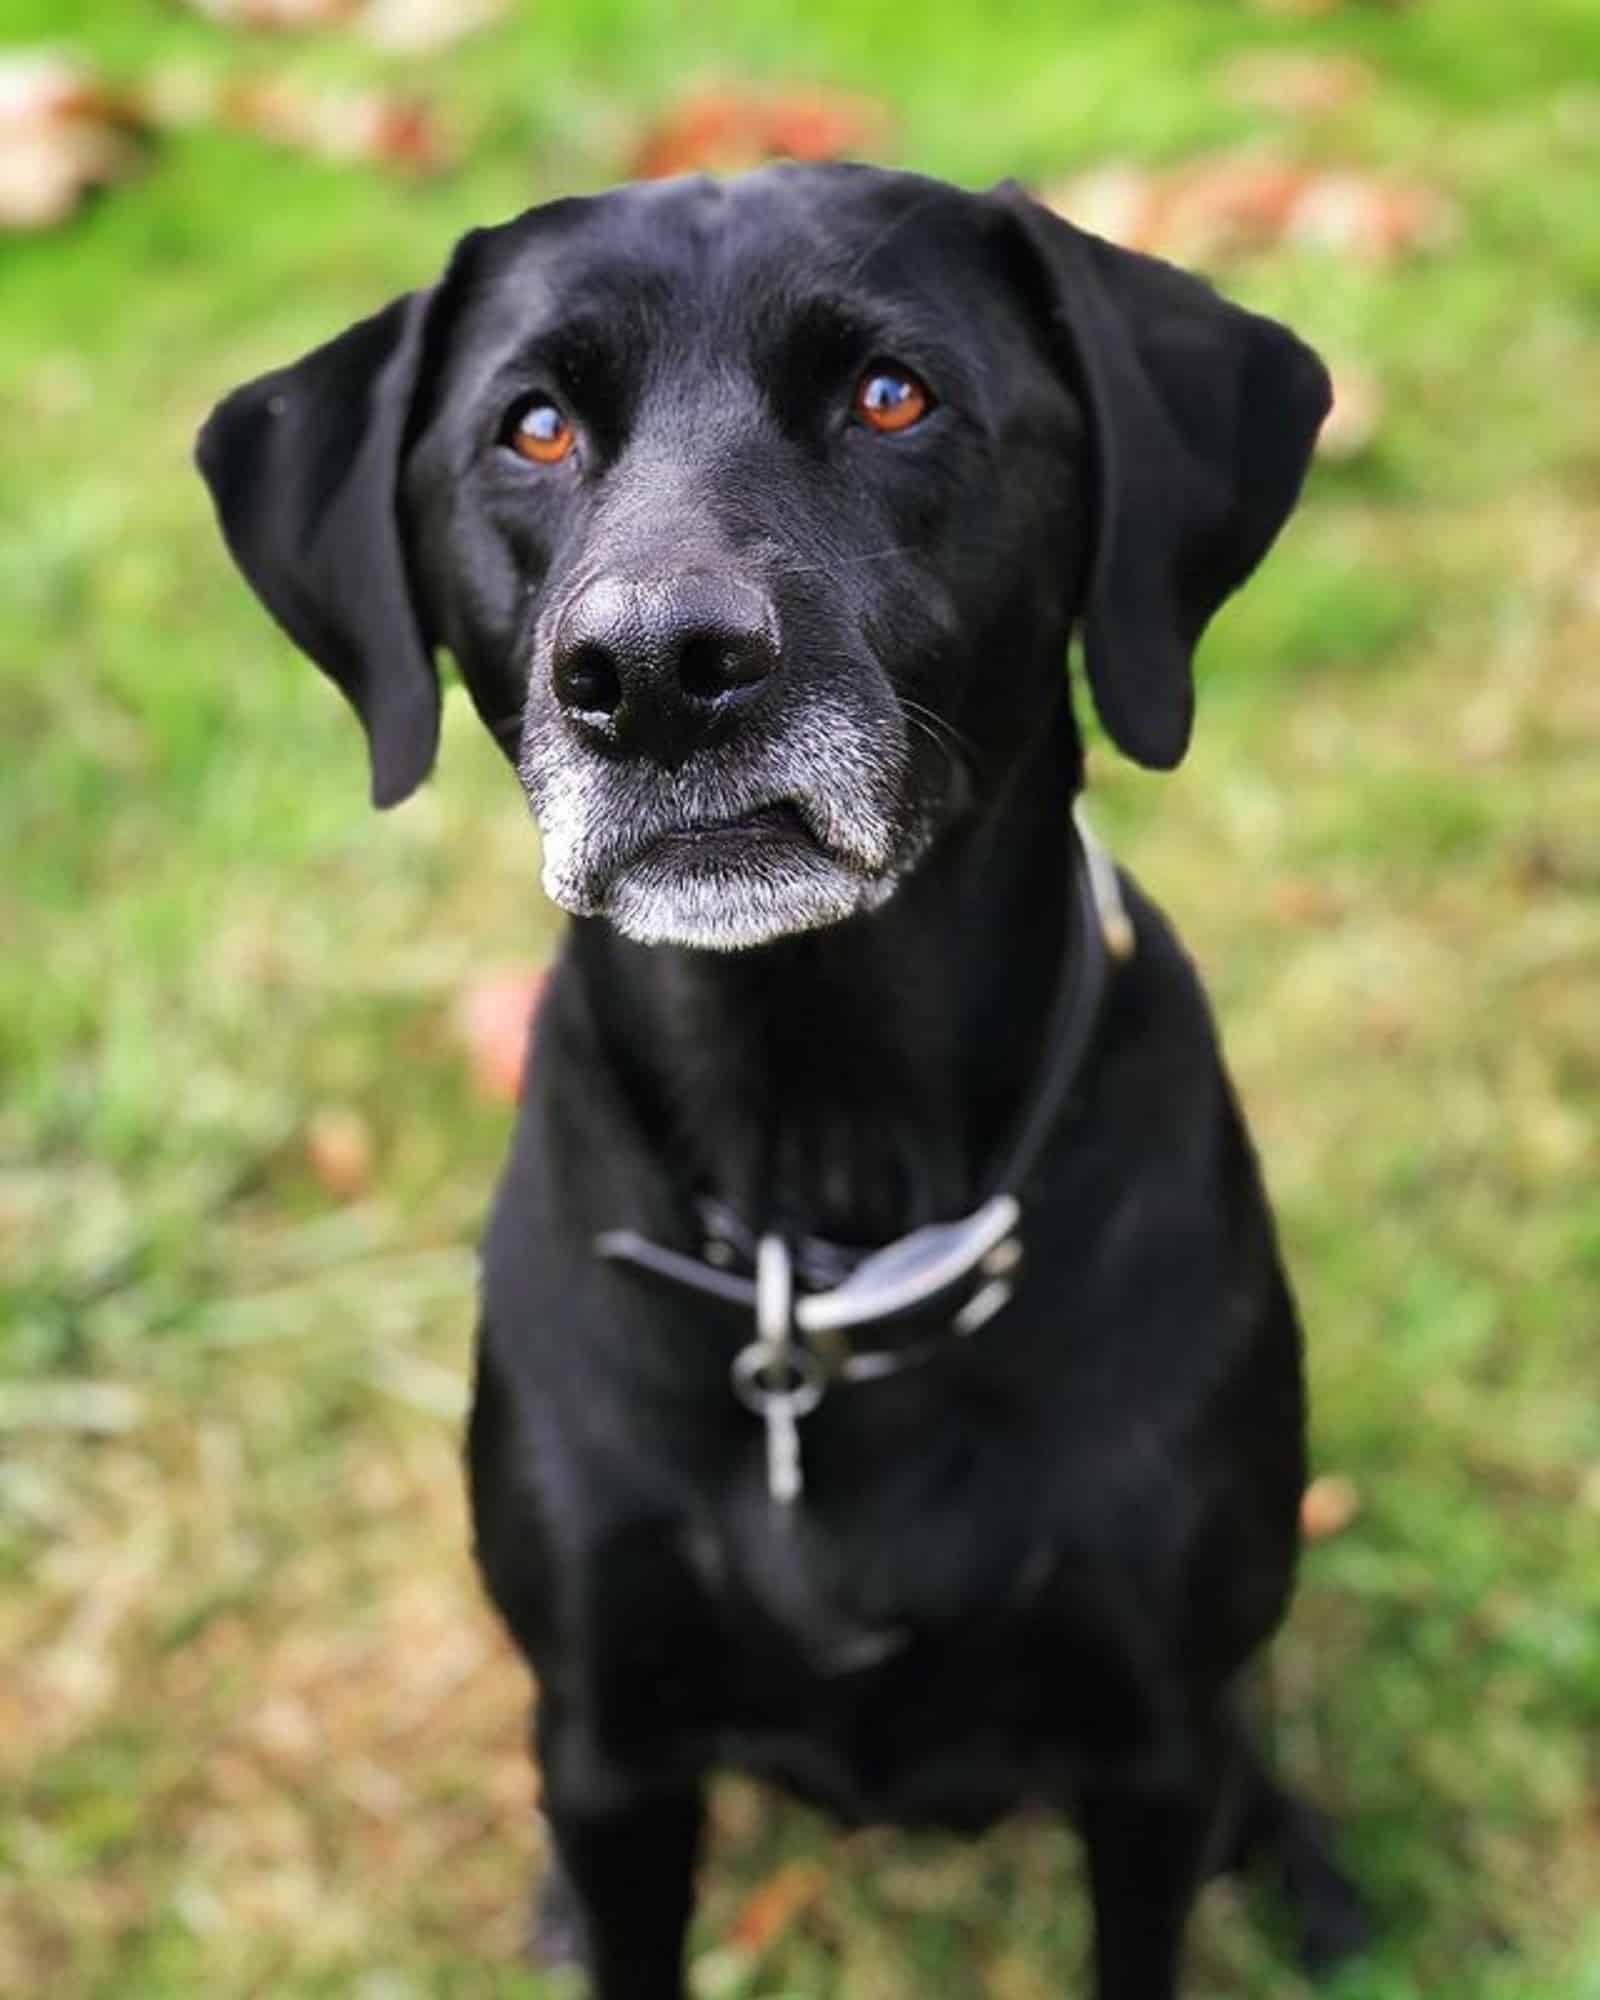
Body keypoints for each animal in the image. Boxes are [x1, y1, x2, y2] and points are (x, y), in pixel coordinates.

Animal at [200, 164, 1368, 1992]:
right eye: (533, 427)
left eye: (892, 395)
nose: (653, 673)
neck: (817, 1174)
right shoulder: (611, 1749)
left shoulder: (1152, 1746)